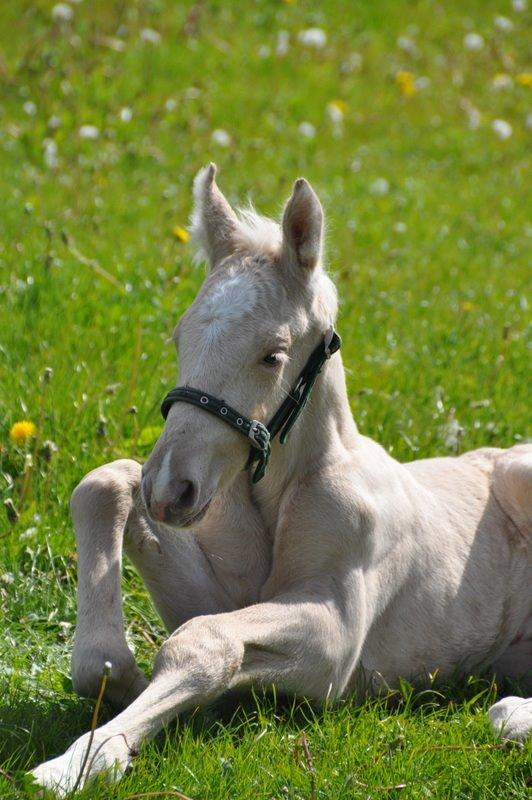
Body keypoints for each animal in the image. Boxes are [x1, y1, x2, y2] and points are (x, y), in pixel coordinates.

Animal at [31, 164, 528, 792]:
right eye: (179, 337)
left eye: (273, 355)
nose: (170, 489)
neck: (277, 495)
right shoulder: (221, 592)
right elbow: (106, 480)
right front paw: (114, 674)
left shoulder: (335, 642)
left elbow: (205, 640)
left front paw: (80, 760)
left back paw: (510, 715)